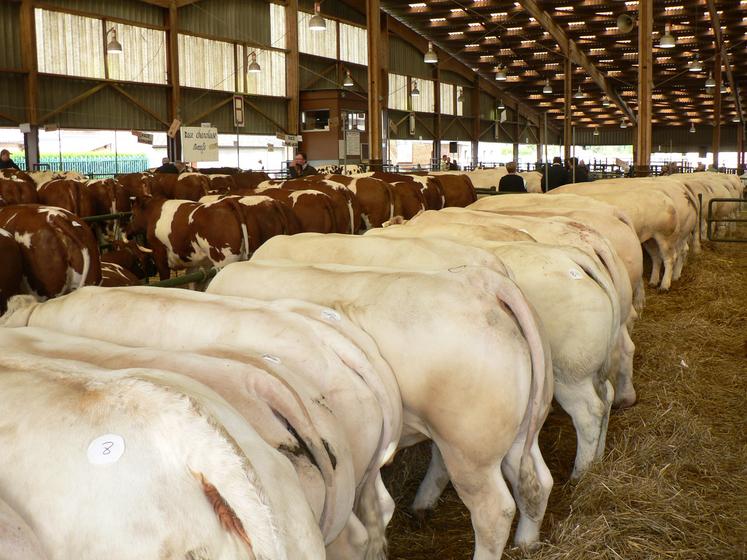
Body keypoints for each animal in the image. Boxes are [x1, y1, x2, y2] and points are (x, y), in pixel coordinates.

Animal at [205, 260, 556, 556]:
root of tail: (478, 280)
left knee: (493, 511)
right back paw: (527, 541)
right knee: (537, 480)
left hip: (470, 450)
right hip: (521, 427)